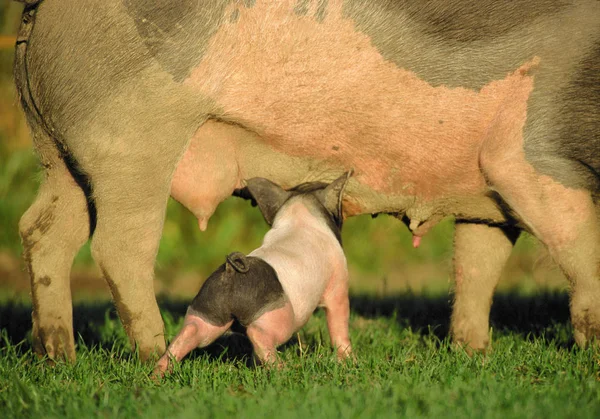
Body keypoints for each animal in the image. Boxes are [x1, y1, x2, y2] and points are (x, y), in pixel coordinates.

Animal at [12, 0, 600, 360]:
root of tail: (37, 12)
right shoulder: (523, 157)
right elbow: (580, 248)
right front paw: (589, 355)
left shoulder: (485, 193)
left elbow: (478, 261)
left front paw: (474, 353)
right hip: (131, 141)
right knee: (118, 246)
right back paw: (153, 353)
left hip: (60, 154)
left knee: (41, 229)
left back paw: (57, 357)